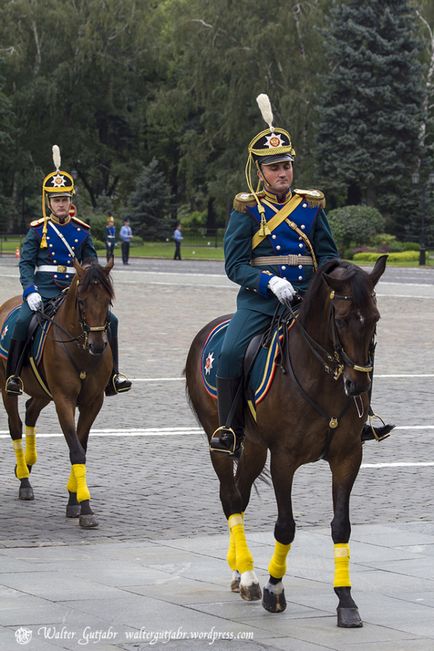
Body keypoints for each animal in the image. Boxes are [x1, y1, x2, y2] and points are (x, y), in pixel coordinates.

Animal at [0, 258, 113, 528]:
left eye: (107, 301)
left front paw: (74, 500)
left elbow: (81, 446)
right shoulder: (64, 400)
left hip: (43, 392)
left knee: (31, 411)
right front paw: (85, 506)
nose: (97, 345)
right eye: (81, 301)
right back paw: (24, 479)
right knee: (16, 426)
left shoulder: (93, 402)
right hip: (7, 387)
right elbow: (76, 450)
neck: (81, 350)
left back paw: (28, 463)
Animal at [185, 255, 388, 628]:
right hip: (219, 438)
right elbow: (285, 527)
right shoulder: (283, 459)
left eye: (375, 319)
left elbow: (341, 527)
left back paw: (239, 571)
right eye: (341, 319)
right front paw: (274, 589)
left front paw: (345, 600)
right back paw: (249, 578)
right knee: (230, 497)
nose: (358, 386)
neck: (322, 376)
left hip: (253, 447)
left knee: (241, 494)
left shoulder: (348, 456)